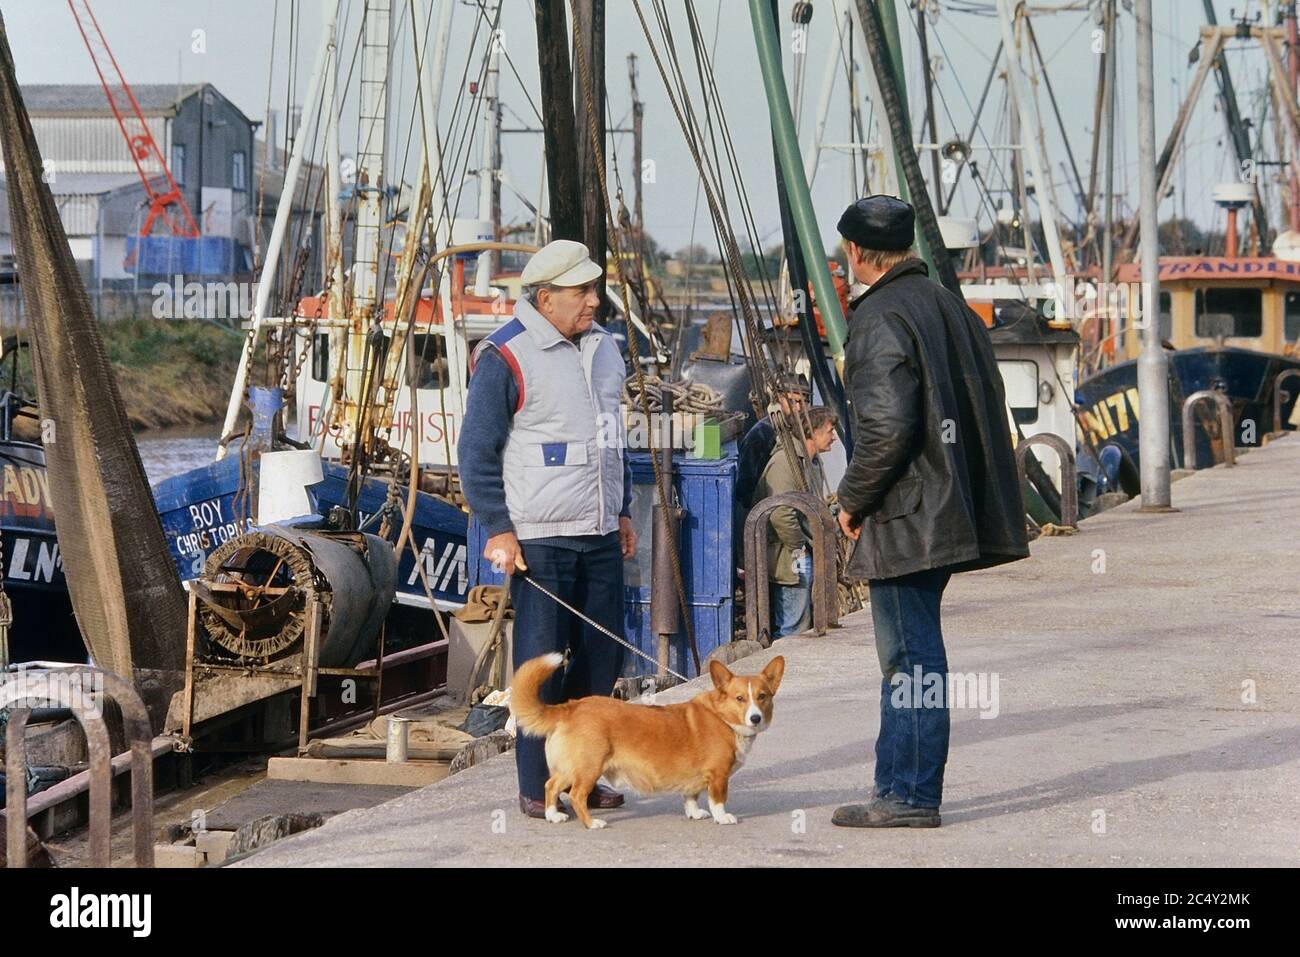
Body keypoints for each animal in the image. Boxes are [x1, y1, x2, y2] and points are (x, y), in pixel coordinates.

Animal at [512, 655, 785, 826]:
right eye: (740, 698)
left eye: (762, 696)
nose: (756, 718)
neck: (722, 718)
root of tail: (571, 706)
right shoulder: (717, 776)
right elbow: (718, 801)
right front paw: (723, 817)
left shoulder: (694, 779)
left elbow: (690, 797)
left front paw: (695, 813)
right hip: (589, 767)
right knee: (577, 795)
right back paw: (592, 823)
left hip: (571, 768)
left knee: (551, 785)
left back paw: (552, 815)